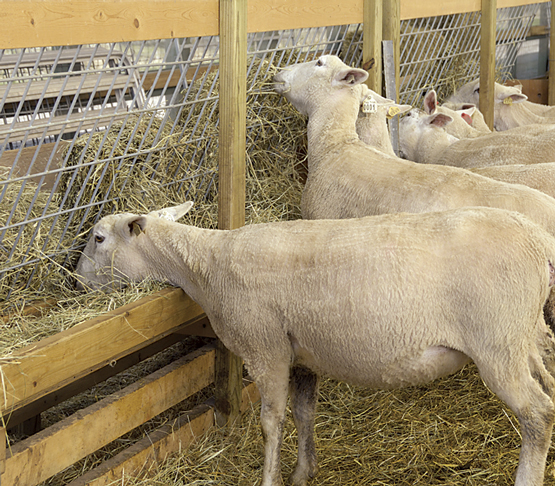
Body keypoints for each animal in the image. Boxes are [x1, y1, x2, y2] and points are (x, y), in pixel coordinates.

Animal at [76, 200, 555, 486]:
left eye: (99, 238)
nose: (77, 282)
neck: (207, 266)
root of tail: (537, 238)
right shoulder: (302, 355)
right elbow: (305, 414)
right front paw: (303, 472)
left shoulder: (265, 348)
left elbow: (271, 423)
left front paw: (269, 479)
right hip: (526, 335)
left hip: (498, 342)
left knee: (538, 414)